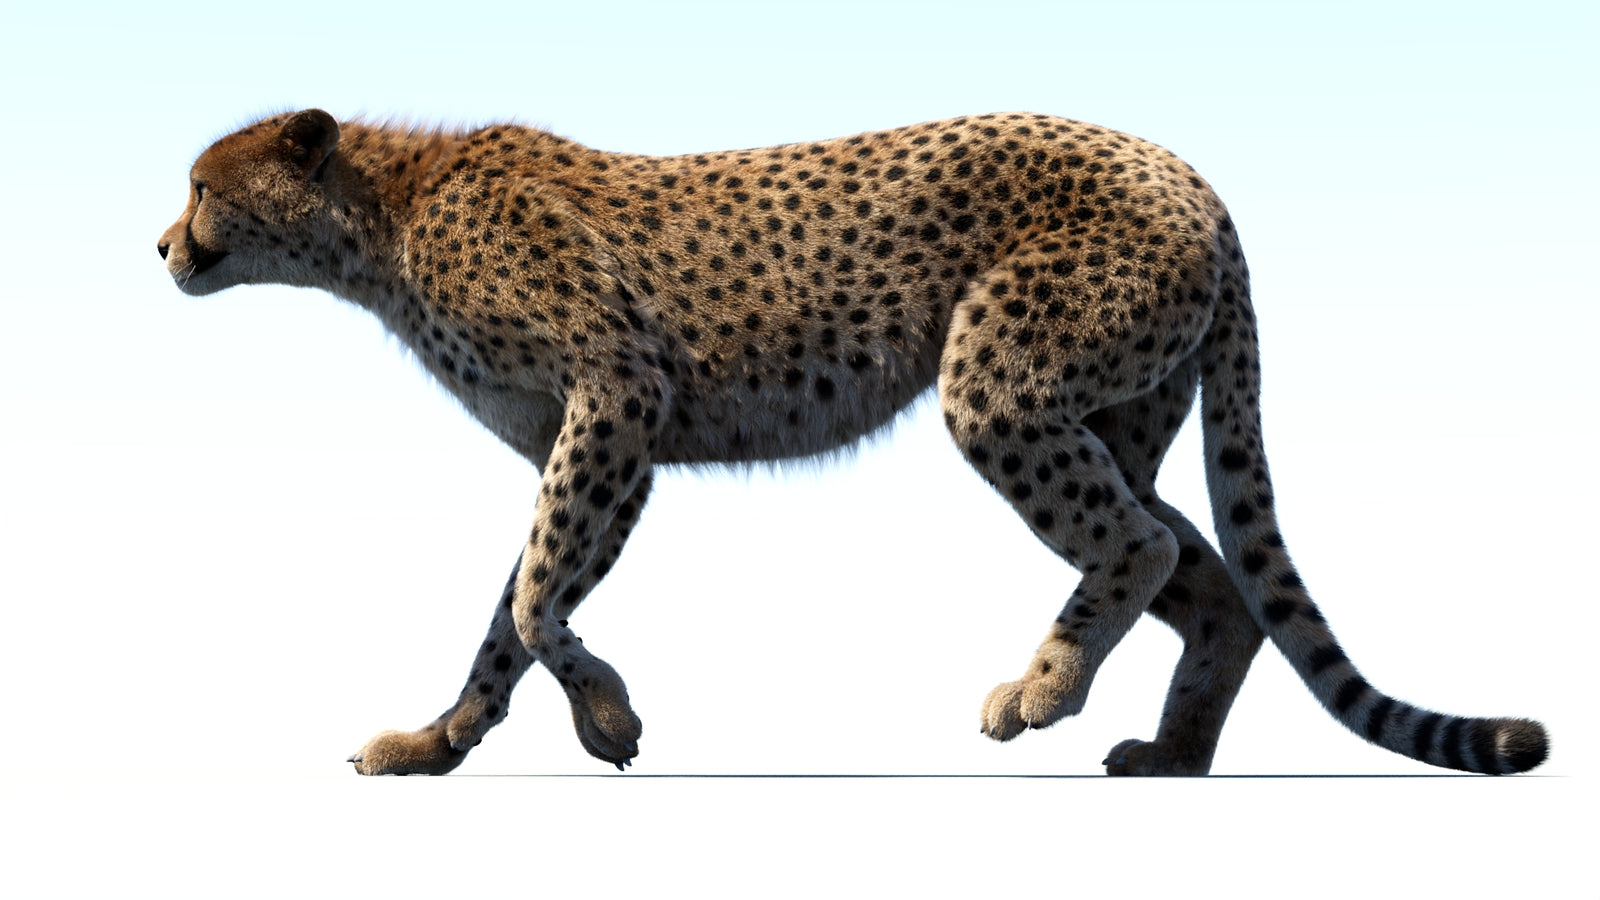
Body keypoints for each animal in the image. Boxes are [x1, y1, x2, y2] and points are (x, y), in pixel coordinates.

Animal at [158, 109, 1549, 775]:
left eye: (203, 185)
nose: (163, 243)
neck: (379, 220)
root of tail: (1187, 171)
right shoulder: (596, 438)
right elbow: (513, 609)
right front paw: (442, 742)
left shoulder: (618, 400)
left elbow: (540, 597)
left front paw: (606, 715)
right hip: (1117, 406)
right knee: (1209, 576)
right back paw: (1173, 755)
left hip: (1000, 380)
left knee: (1142, 546)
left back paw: (1043, 687)